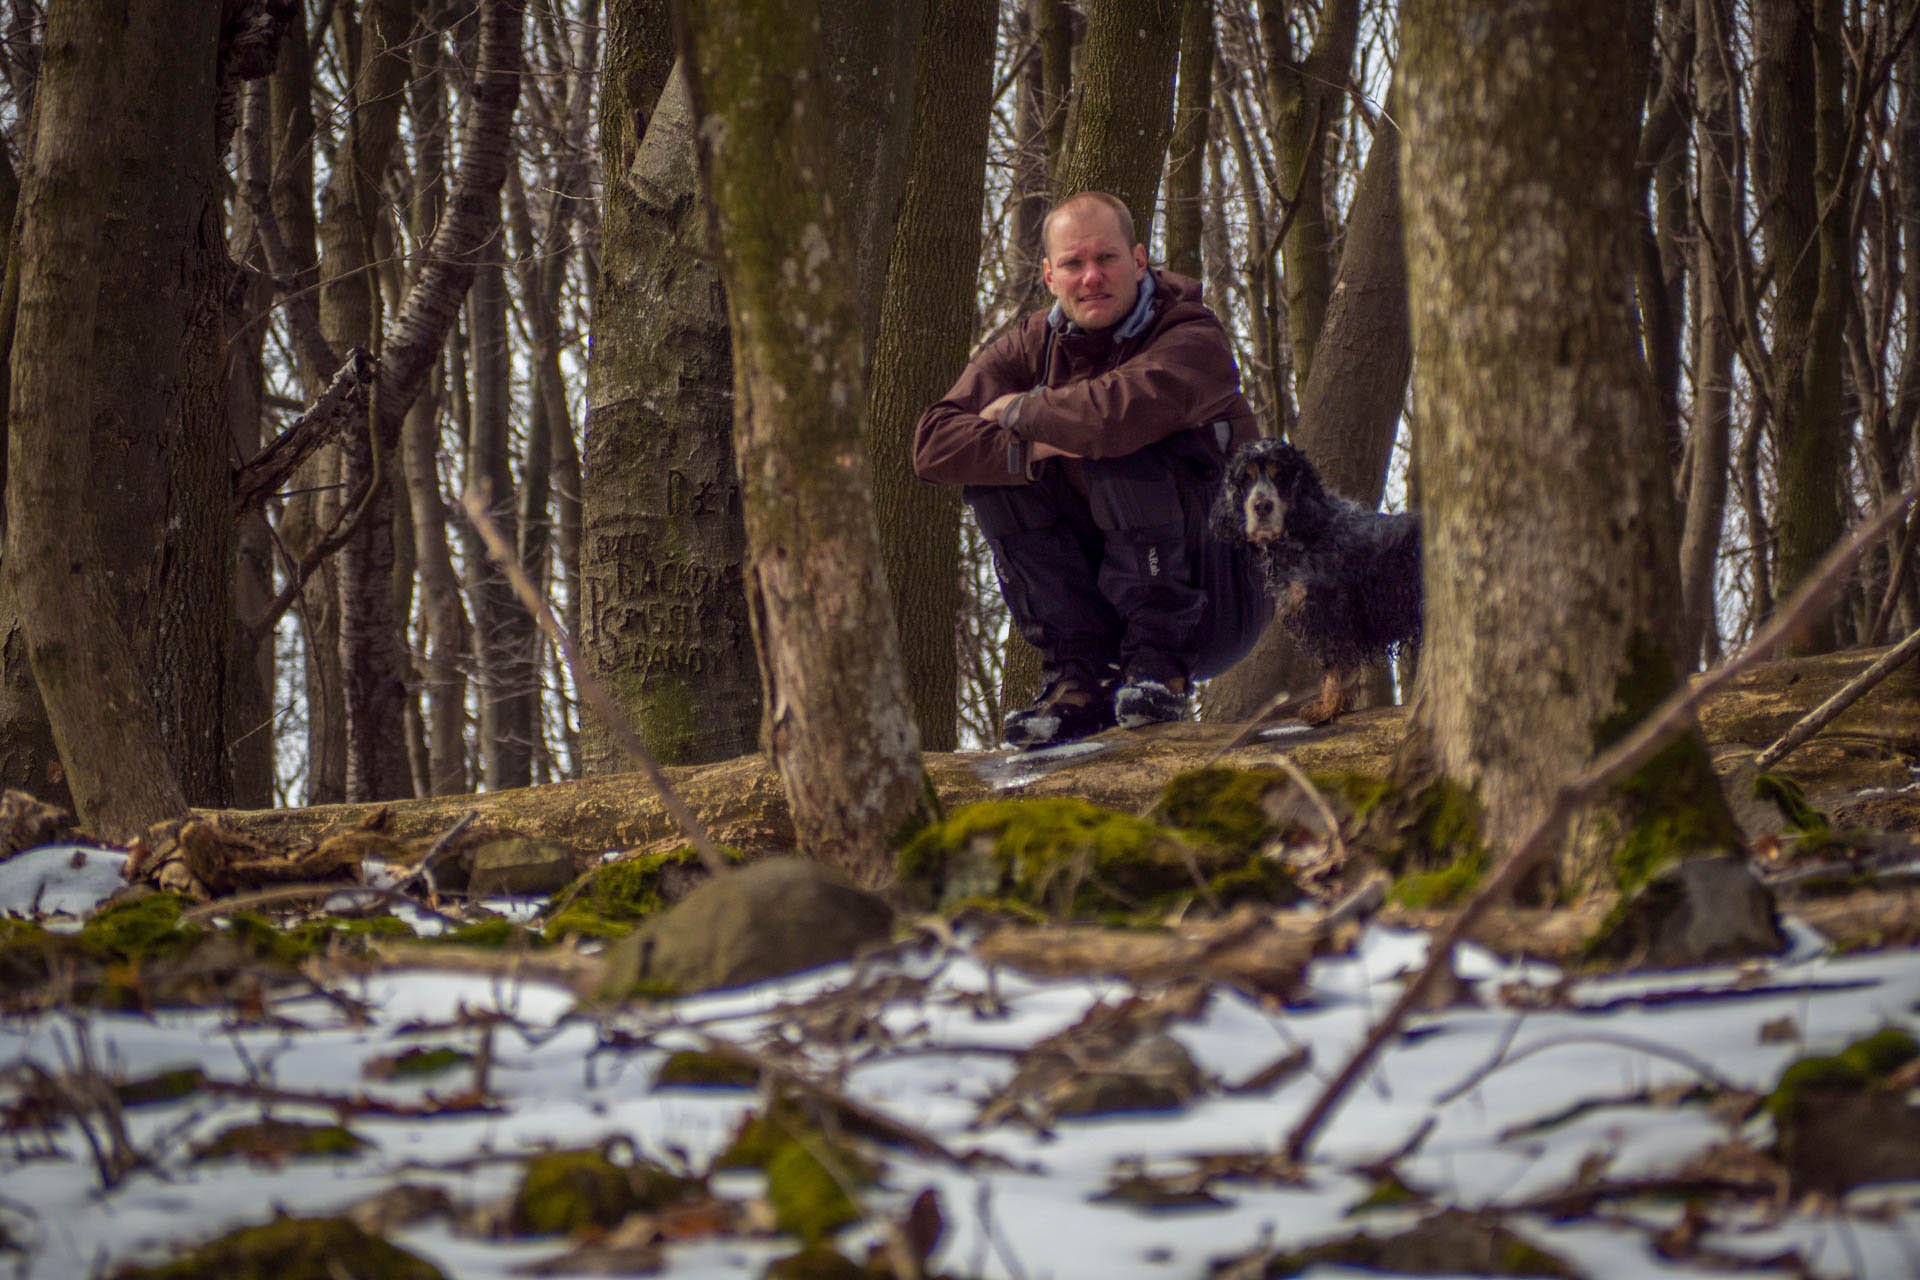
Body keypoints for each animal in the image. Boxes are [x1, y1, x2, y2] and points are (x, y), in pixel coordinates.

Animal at [1213, 437, 1428, 721]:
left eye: (1280, 477)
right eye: (1245, 479)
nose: (1262, 506)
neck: (1307, 533)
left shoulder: (1330, 613)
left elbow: (1336, 668)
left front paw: (1326, 708)